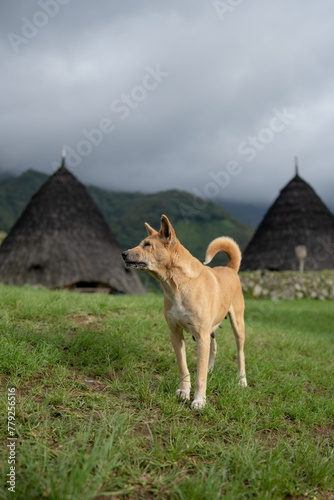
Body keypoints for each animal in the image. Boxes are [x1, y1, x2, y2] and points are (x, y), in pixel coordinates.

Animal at [121, 213, 247, 408]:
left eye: (147, 244)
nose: (123, 254)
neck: (177, 284)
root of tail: (230, 269)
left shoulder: (201, 336)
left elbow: (199, 376)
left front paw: (199, 400)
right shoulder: (175, 333)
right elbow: (183, 366)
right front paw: (183, 391)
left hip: (237, 325)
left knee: (240, 353)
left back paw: (241, 380)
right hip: (211, 330)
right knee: (214, 347)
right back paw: (211, 369)